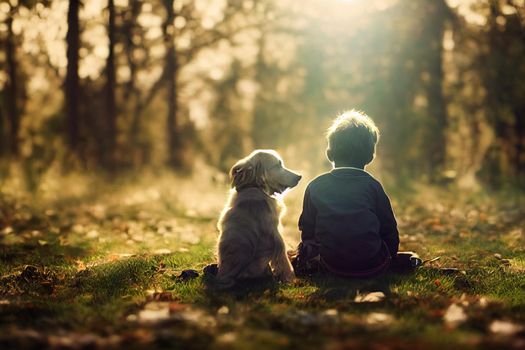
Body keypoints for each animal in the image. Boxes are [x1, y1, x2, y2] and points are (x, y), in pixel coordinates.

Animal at [214, 149, 298, 288]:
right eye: (278, 165)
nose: (299, 176)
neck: (255, 186)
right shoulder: (276, 234)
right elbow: (283, 260)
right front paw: (289, 277)